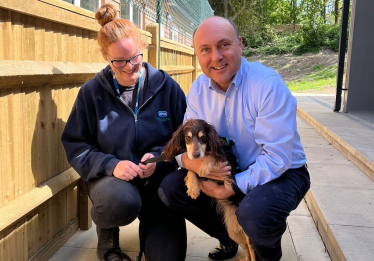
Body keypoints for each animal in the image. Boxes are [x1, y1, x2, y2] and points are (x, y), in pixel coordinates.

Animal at [164, 118, 258, 260]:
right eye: (187, 137)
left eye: (203, 138)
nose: (196, 154)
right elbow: (192, 170)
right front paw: (192, 186)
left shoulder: (226, 167)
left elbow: (213, 157)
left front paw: (203, 167)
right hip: (233, 231)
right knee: (247, 249)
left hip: (247, 233)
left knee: (253, 251)